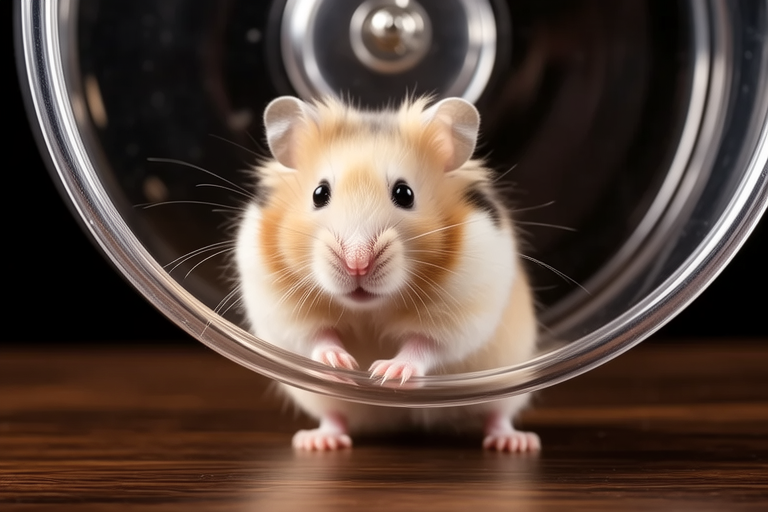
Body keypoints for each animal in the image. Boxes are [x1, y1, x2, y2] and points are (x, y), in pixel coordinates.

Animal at [235, 95, 540, 452]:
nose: (357, 264)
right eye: (319, 194)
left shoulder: (464, 310)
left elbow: (425, 343)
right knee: (334, 417)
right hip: (320, 399)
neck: (370, 309)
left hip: (508, 380)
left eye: (404, 194)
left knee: (498, 414)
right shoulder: (279, 307)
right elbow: (314, 336)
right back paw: (316, 442)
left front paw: (386, 372)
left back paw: (515, 443)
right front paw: (341, 364)